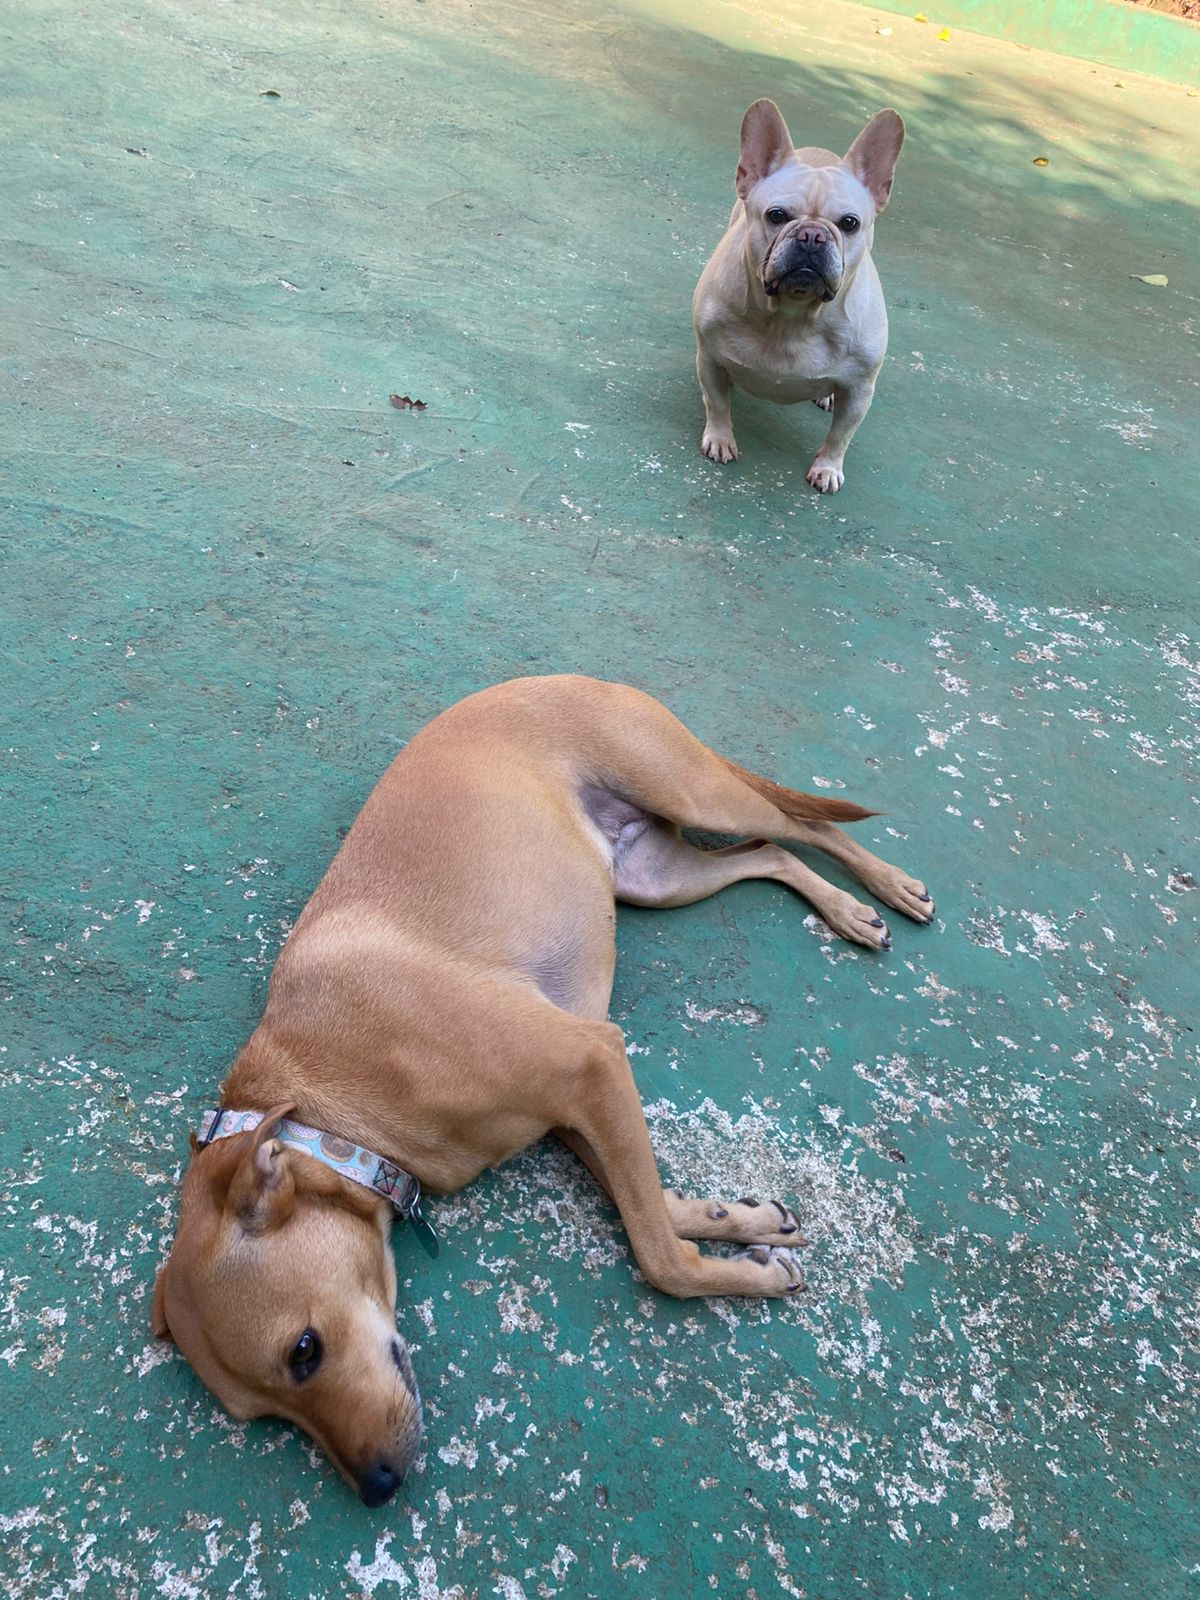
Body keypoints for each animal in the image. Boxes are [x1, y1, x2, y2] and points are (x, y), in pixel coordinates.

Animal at [151, 676, 934, 1503]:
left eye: (304, 1350)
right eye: (266, 1415)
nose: (379, 1486)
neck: (324, 1105)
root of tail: (552, 678)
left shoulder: (590, 1062)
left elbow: (658, 1255)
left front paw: (729, 1264)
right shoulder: (573, 1111)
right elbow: (653, 1207)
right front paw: (742, 1223)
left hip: (695, 793)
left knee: (803, 824)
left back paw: (882, 889)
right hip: (656, 877)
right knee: (772, 852)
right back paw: (846, 908)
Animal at [693, 99, 905, 492]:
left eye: (849, 223)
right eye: (776, 215)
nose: (812, 235)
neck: (793, 315)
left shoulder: (860, 391)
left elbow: (840, 436)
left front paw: (828, 468)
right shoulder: (709, 360)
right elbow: (717, 404)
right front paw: (720, 439)